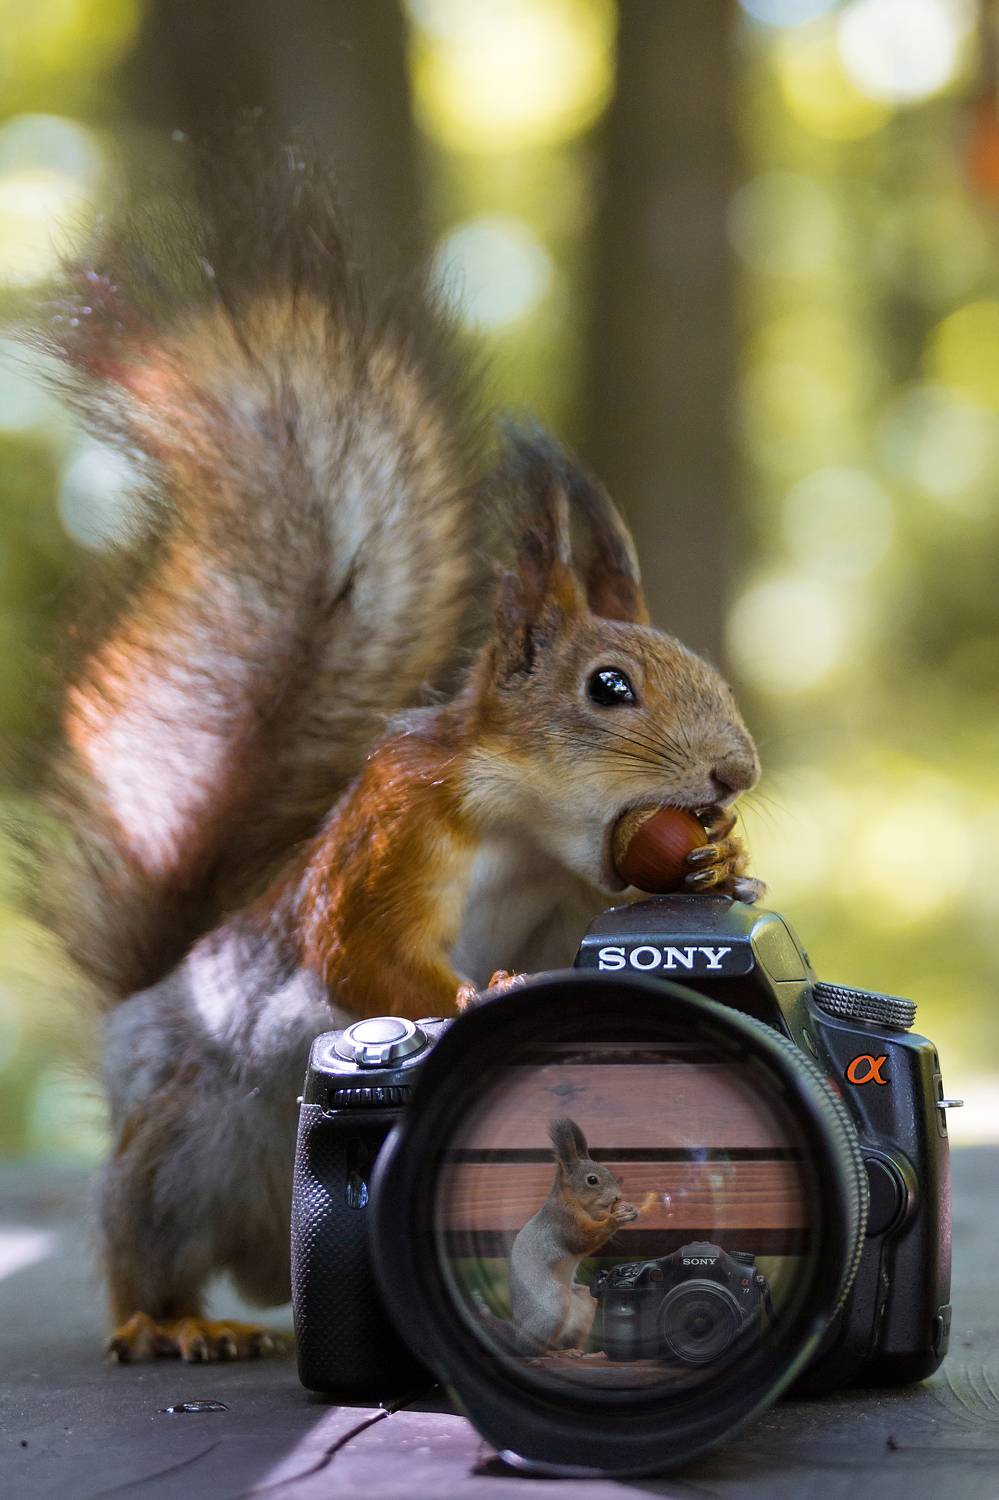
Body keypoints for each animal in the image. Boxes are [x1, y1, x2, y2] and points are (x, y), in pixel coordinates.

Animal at [509, 1117, 638, 1357]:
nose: (618, 1197)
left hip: (585, 1300)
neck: (574, 1201)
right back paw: (555, 1353)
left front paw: (629, 1210)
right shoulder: (564, 1223)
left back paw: (585, 1352)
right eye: (592, 1180)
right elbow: (583, 1240)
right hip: (553, 1302)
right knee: (534, 1349)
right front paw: (614, 1219)